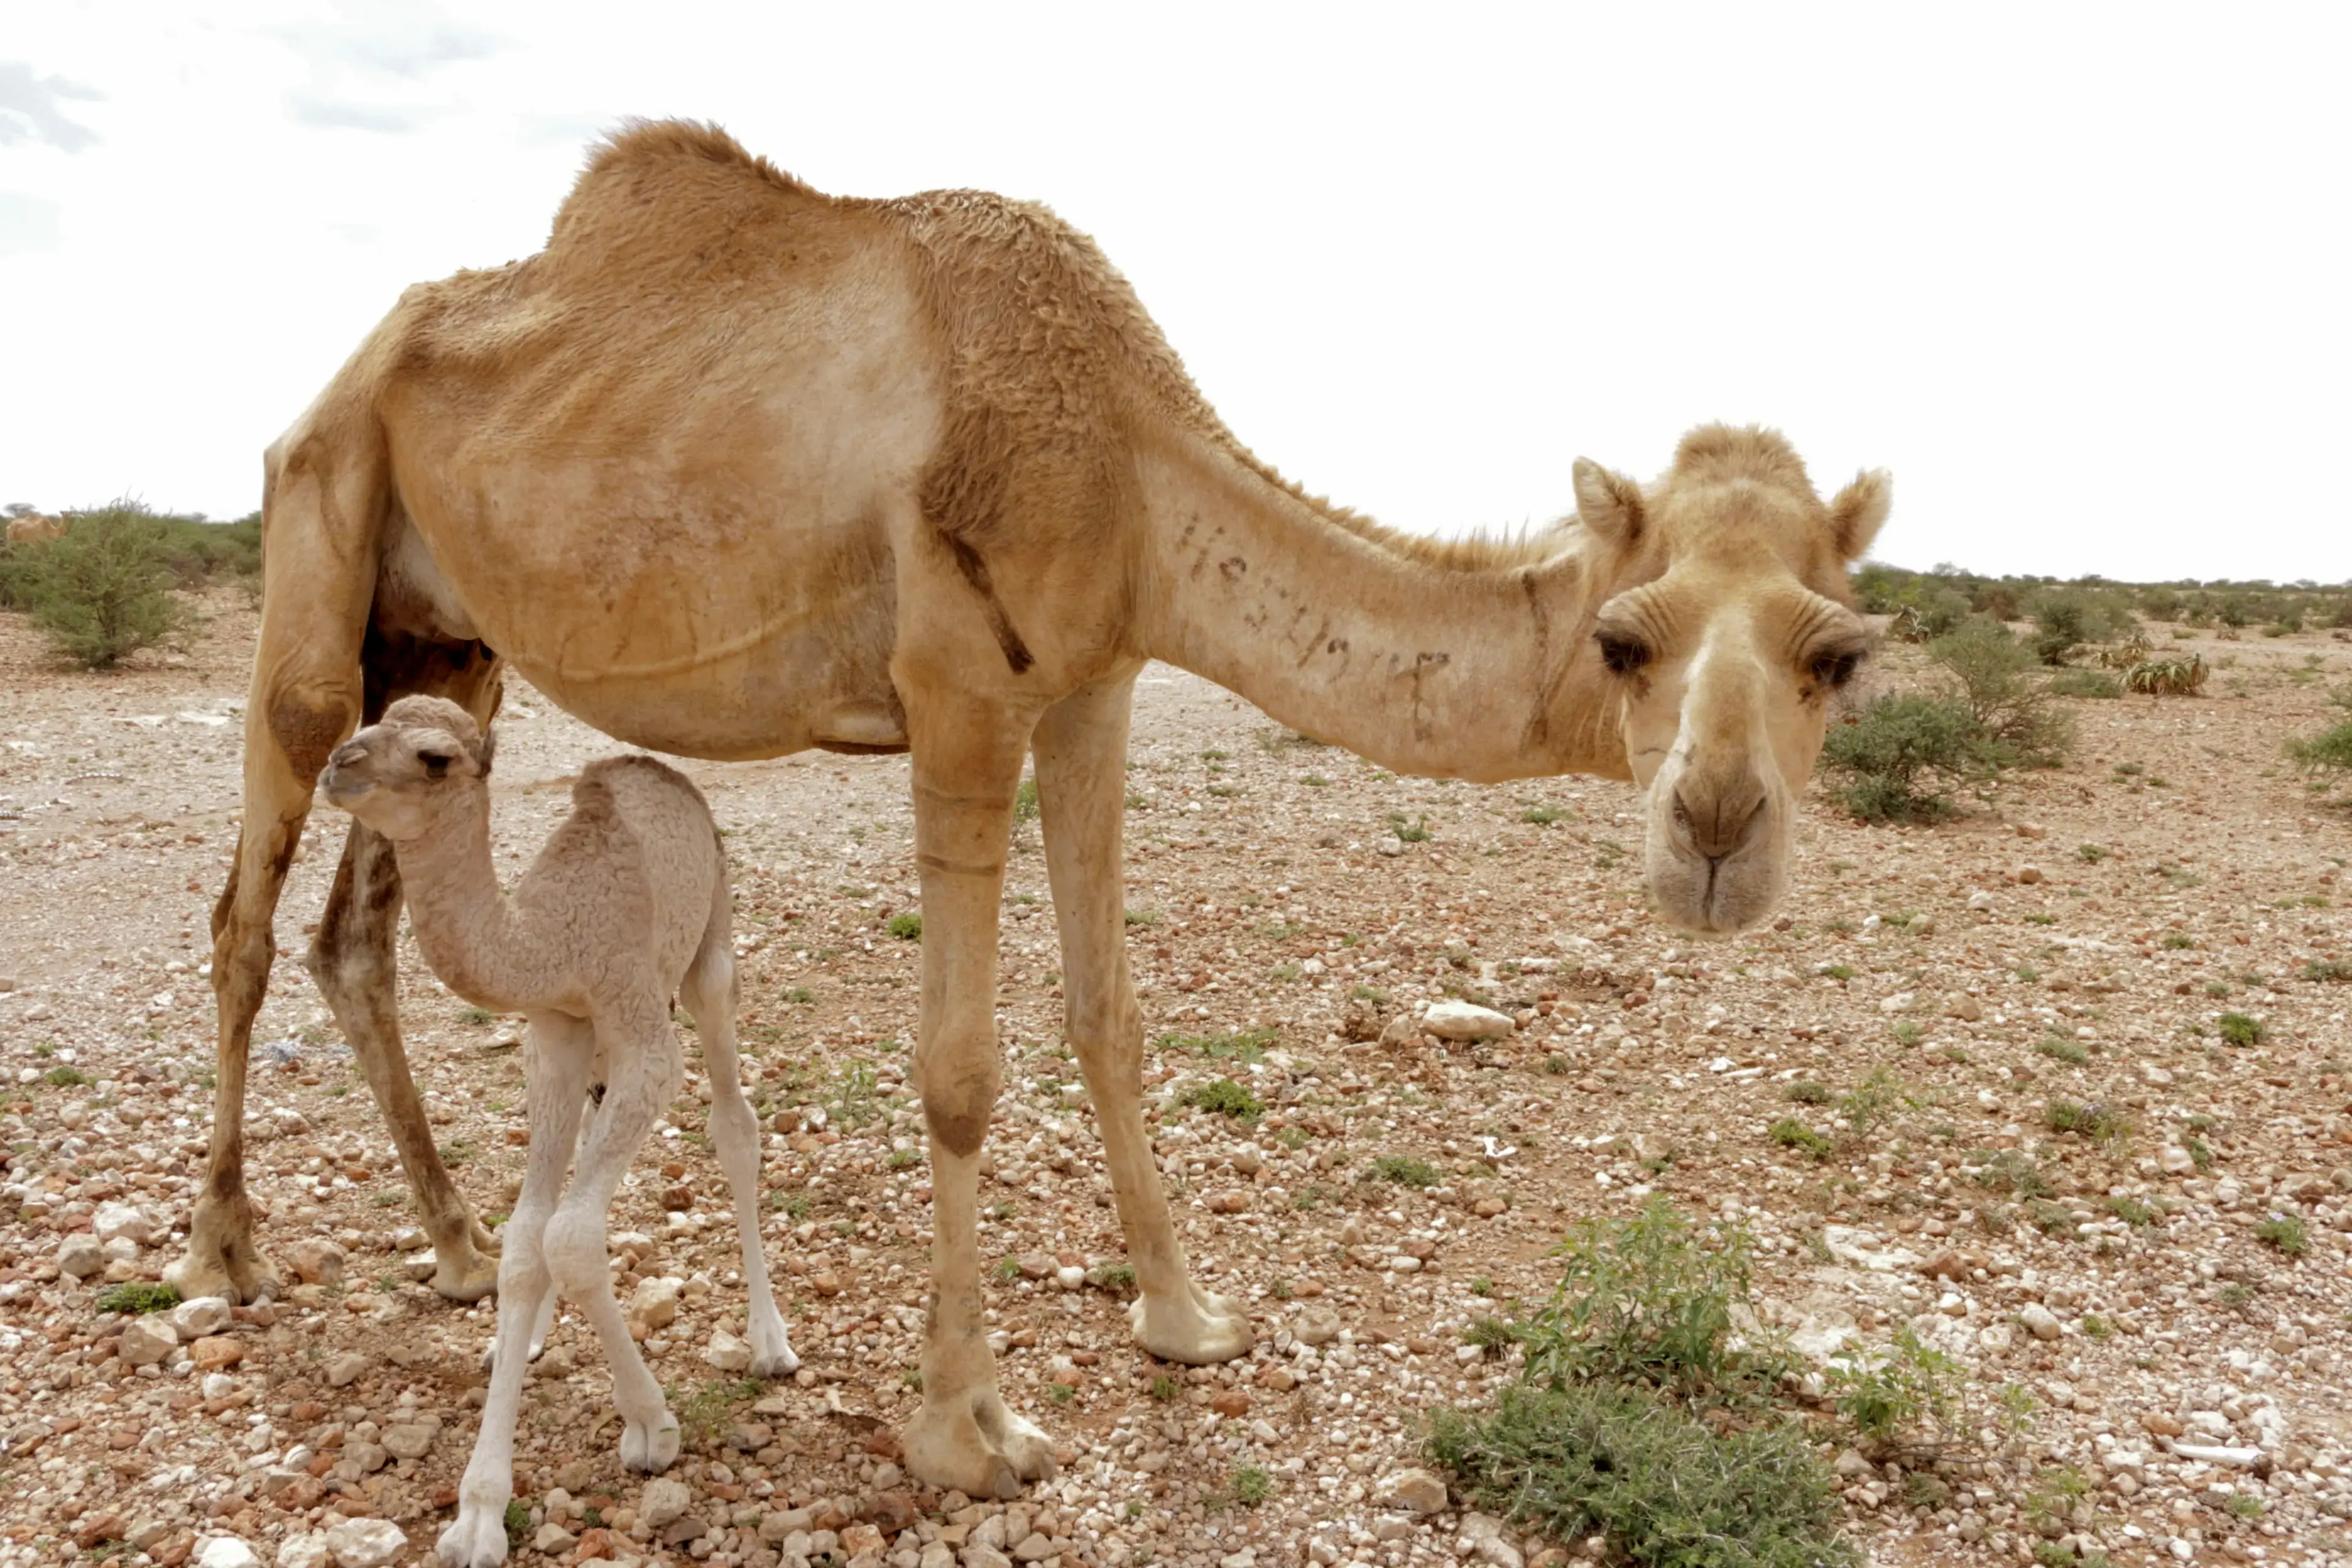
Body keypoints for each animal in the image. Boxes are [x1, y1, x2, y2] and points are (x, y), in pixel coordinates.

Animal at [315, 696, 794, 1568]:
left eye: (434, 757)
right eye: (372, 718)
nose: (340, 765)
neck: (550, 941)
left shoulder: (642, 1032)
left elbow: (570, 1236)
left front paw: (651, 1426)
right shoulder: (554, 1032)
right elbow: (525, 1238)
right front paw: (477, 1511)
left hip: (709, 947)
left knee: (734, 1124)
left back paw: (771, 1342)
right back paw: (528, 1337)